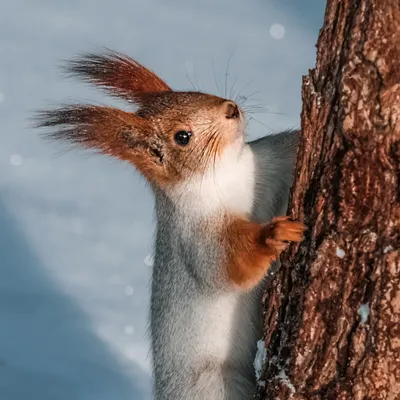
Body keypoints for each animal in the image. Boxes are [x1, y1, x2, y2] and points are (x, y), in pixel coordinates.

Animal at [36, 50, 304, 400]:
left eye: (194, 92)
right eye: (182, 137)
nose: (230, 108)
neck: (230, 173)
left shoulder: (270, 160)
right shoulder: (196, 237)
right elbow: (230, 264)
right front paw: (274, 235)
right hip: (212, 386)